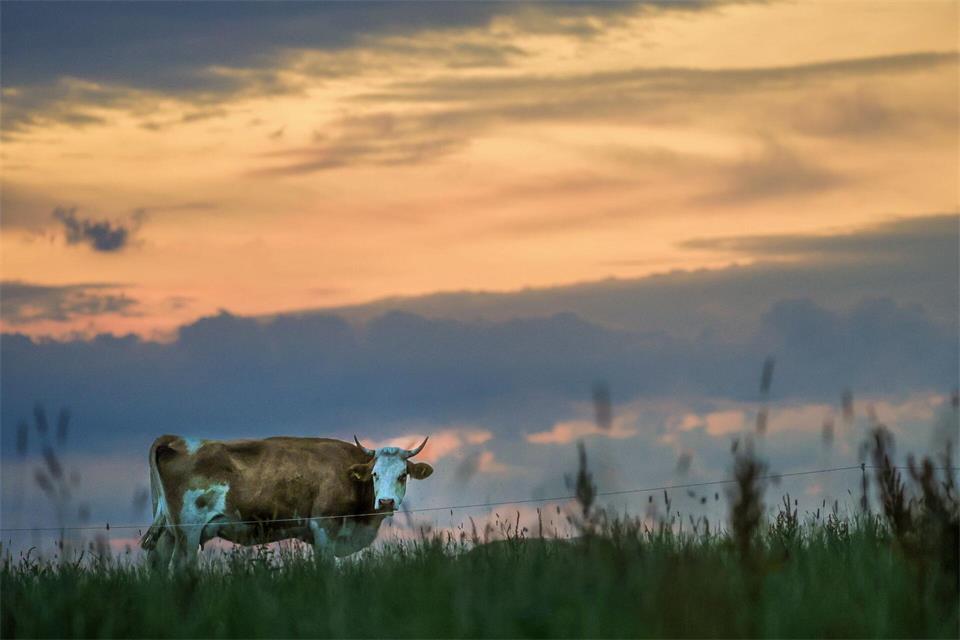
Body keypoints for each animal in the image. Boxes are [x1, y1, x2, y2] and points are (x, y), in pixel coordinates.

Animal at [139, 434, 433, 569]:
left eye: (403, 475)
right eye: (375, 474)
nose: (385, 502)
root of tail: (178, 440)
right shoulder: (324, 527)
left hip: (168, 532)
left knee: (157, 564)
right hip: (187, 531)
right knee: (181, 567)